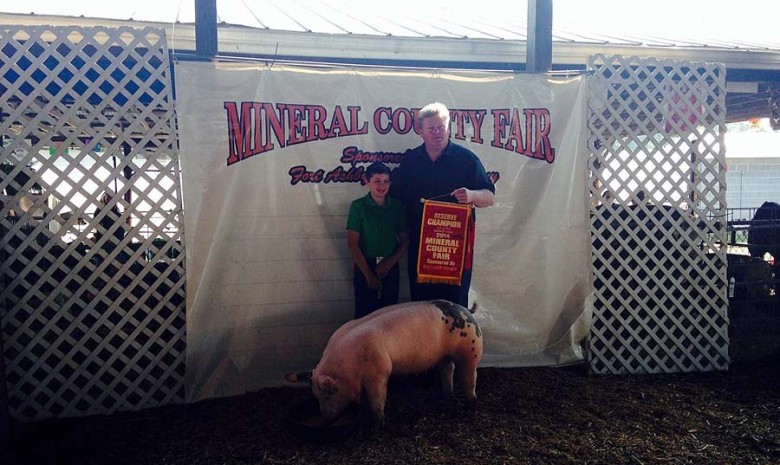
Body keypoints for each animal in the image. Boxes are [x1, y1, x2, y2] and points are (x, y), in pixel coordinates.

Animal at [308, 298, 478, 424]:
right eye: (316, 395)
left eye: (329, 393)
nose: (326, 417)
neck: (349, 364)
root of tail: (467, 310)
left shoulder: (379, 372)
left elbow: (378, 398)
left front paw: (379, 423)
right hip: (445, 356)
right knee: (447, 370)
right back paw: (449, 395)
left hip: (471, 349)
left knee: (470, 376)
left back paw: (471, 403)